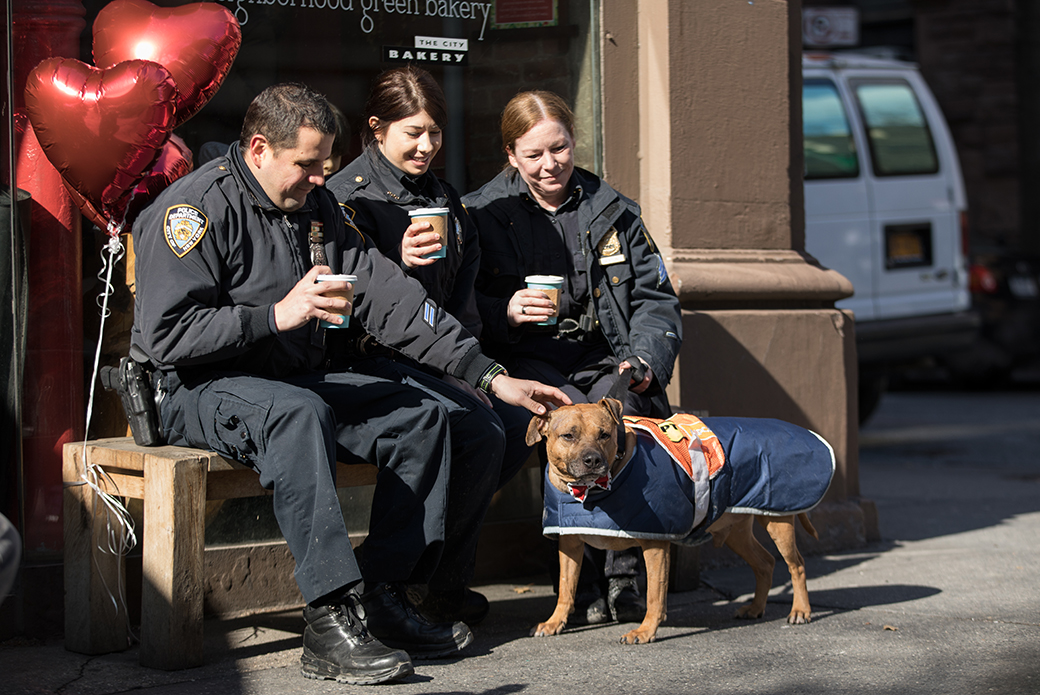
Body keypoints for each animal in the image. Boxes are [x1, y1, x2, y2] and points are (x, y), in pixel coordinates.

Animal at [528, 401, 827, 645]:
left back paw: (801, 610)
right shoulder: (570, 544)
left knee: (797, 565)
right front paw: (555, 622)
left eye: (604, 434)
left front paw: (645, 631)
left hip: (779, 522)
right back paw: (755, 608)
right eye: (569, 436)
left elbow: (655, 595)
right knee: (765, 563)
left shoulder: (655, 545)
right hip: (735, 532)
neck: (591, 491)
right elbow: (566, 589)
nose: (593, 460)